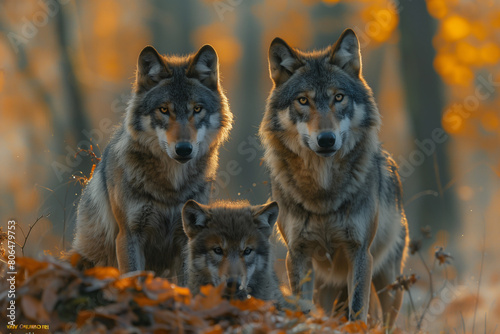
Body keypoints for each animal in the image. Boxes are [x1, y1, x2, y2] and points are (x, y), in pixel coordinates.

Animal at [69, 43, 233, 284]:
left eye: (197, 109)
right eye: (164, 109)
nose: (184, 149)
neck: (170, 187)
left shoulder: (186, 236)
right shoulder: (128, 235)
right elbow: (133, 278)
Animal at [260, 28, 408, 326]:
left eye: (338, 98)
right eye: (303, 100)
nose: (326, 139)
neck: (323, 191)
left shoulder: (360, 253)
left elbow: (357, 310)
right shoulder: (298, 254)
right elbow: (302, 308)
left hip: (388, 282)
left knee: (387, 320)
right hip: (326, 288)